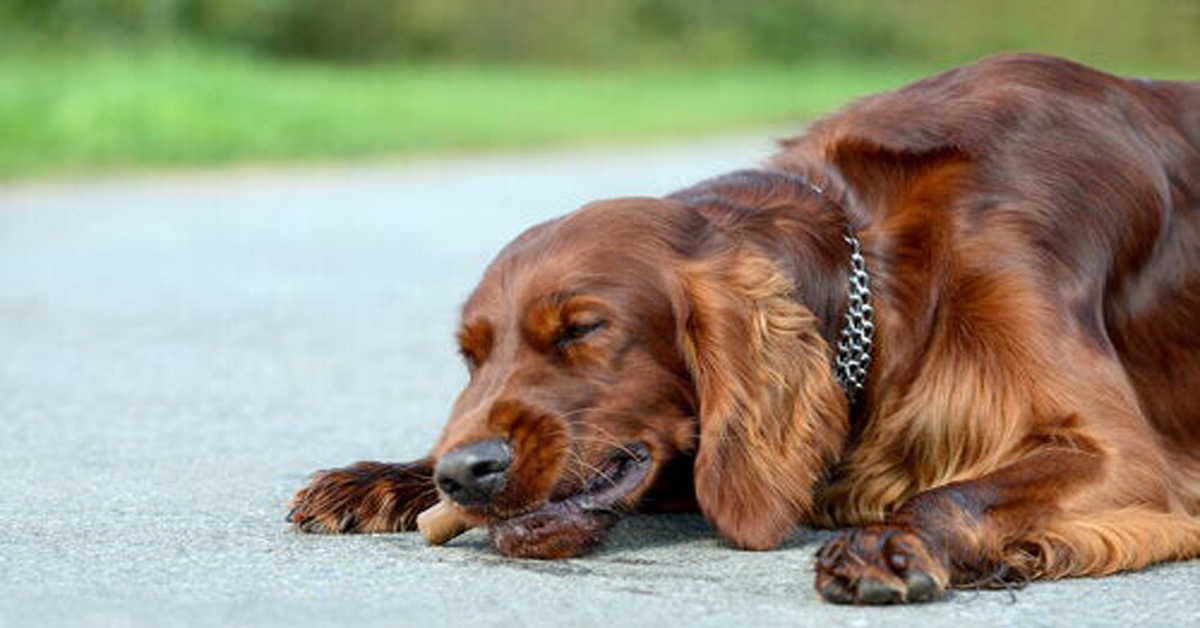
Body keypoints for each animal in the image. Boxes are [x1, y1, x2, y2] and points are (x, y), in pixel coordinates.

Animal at [288, 54, 1200, 605]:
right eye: (471, 356)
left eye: (583, 329)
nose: (463, 473)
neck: (872, 255)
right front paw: (387, 476)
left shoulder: (1124, 460)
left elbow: (961, 488)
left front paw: (889, 543)